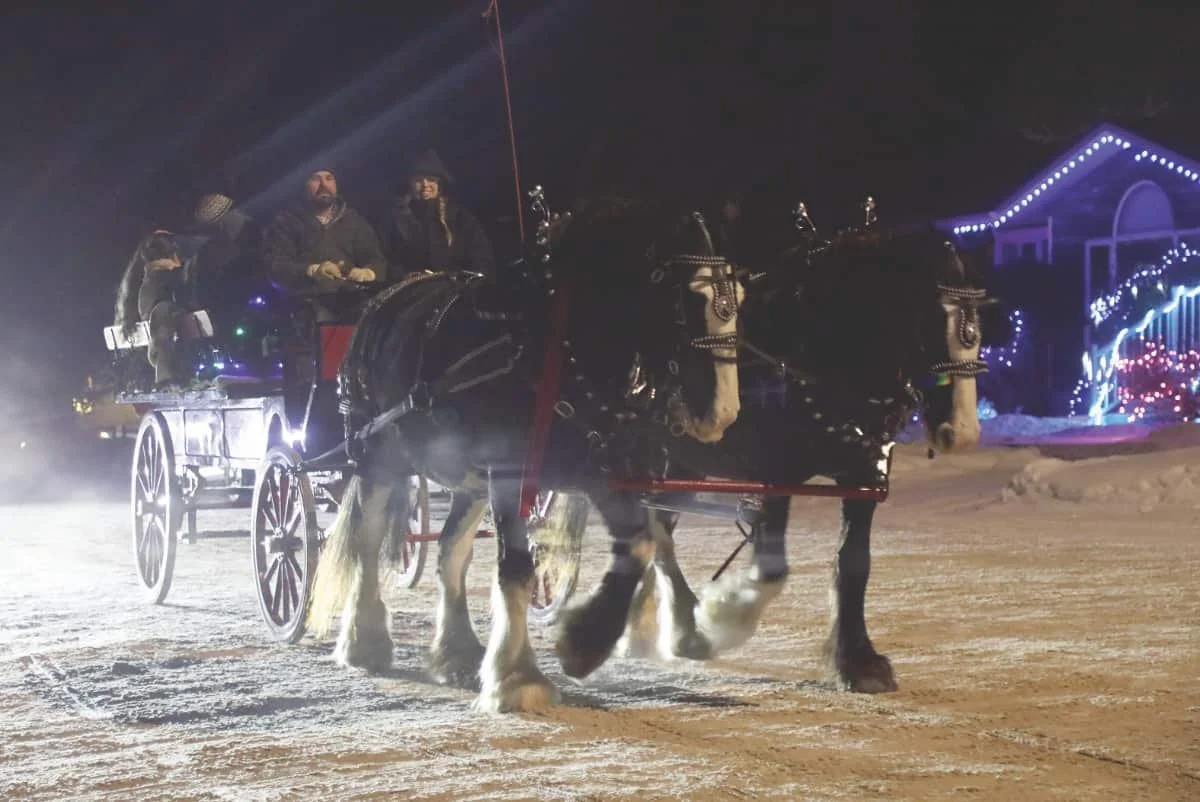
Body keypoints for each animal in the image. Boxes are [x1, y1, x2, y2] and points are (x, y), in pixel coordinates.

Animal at [306, 195, 746, 712]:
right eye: (684, 300)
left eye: (738, 298)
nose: (720, 413)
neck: (558, 345)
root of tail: (383, 301)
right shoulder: (512, 473)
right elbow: (516, 570)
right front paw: (519, 678)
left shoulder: (610, 465)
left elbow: (644, 542)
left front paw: (588, 643)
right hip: (378, 458)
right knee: (368, 541)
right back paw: (366, 641)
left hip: (466, 477)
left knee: (450, 552)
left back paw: (458, 652)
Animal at [552, 224, 1005, 694]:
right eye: (931, 319)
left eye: (978, 322)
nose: (961, 432)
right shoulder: (774, 476)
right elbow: (772, 569)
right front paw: (725, 614)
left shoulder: (861, 475)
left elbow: (854, 563)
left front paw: (858, 661)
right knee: (653, 534)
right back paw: (667, 628)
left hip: (677, 466)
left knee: (658, 529)